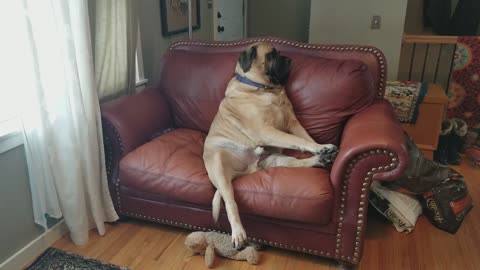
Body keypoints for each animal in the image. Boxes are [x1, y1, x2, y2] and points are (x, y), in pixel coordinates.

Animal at [202, 42, 338, 249]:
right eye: (271, 55)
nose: (289, 59)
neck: (265, 89)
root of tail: (245, 172)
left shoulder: (293, 123)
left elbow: (305, 138)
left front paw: (321, 147)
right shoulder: (266, 131)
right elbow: (298, 141)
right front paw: (319, 147)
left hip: (276, 160)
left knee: (298, 163)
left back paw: (321, 159)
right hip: (219, 166)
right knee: (230, 201)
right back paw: (238, 233)